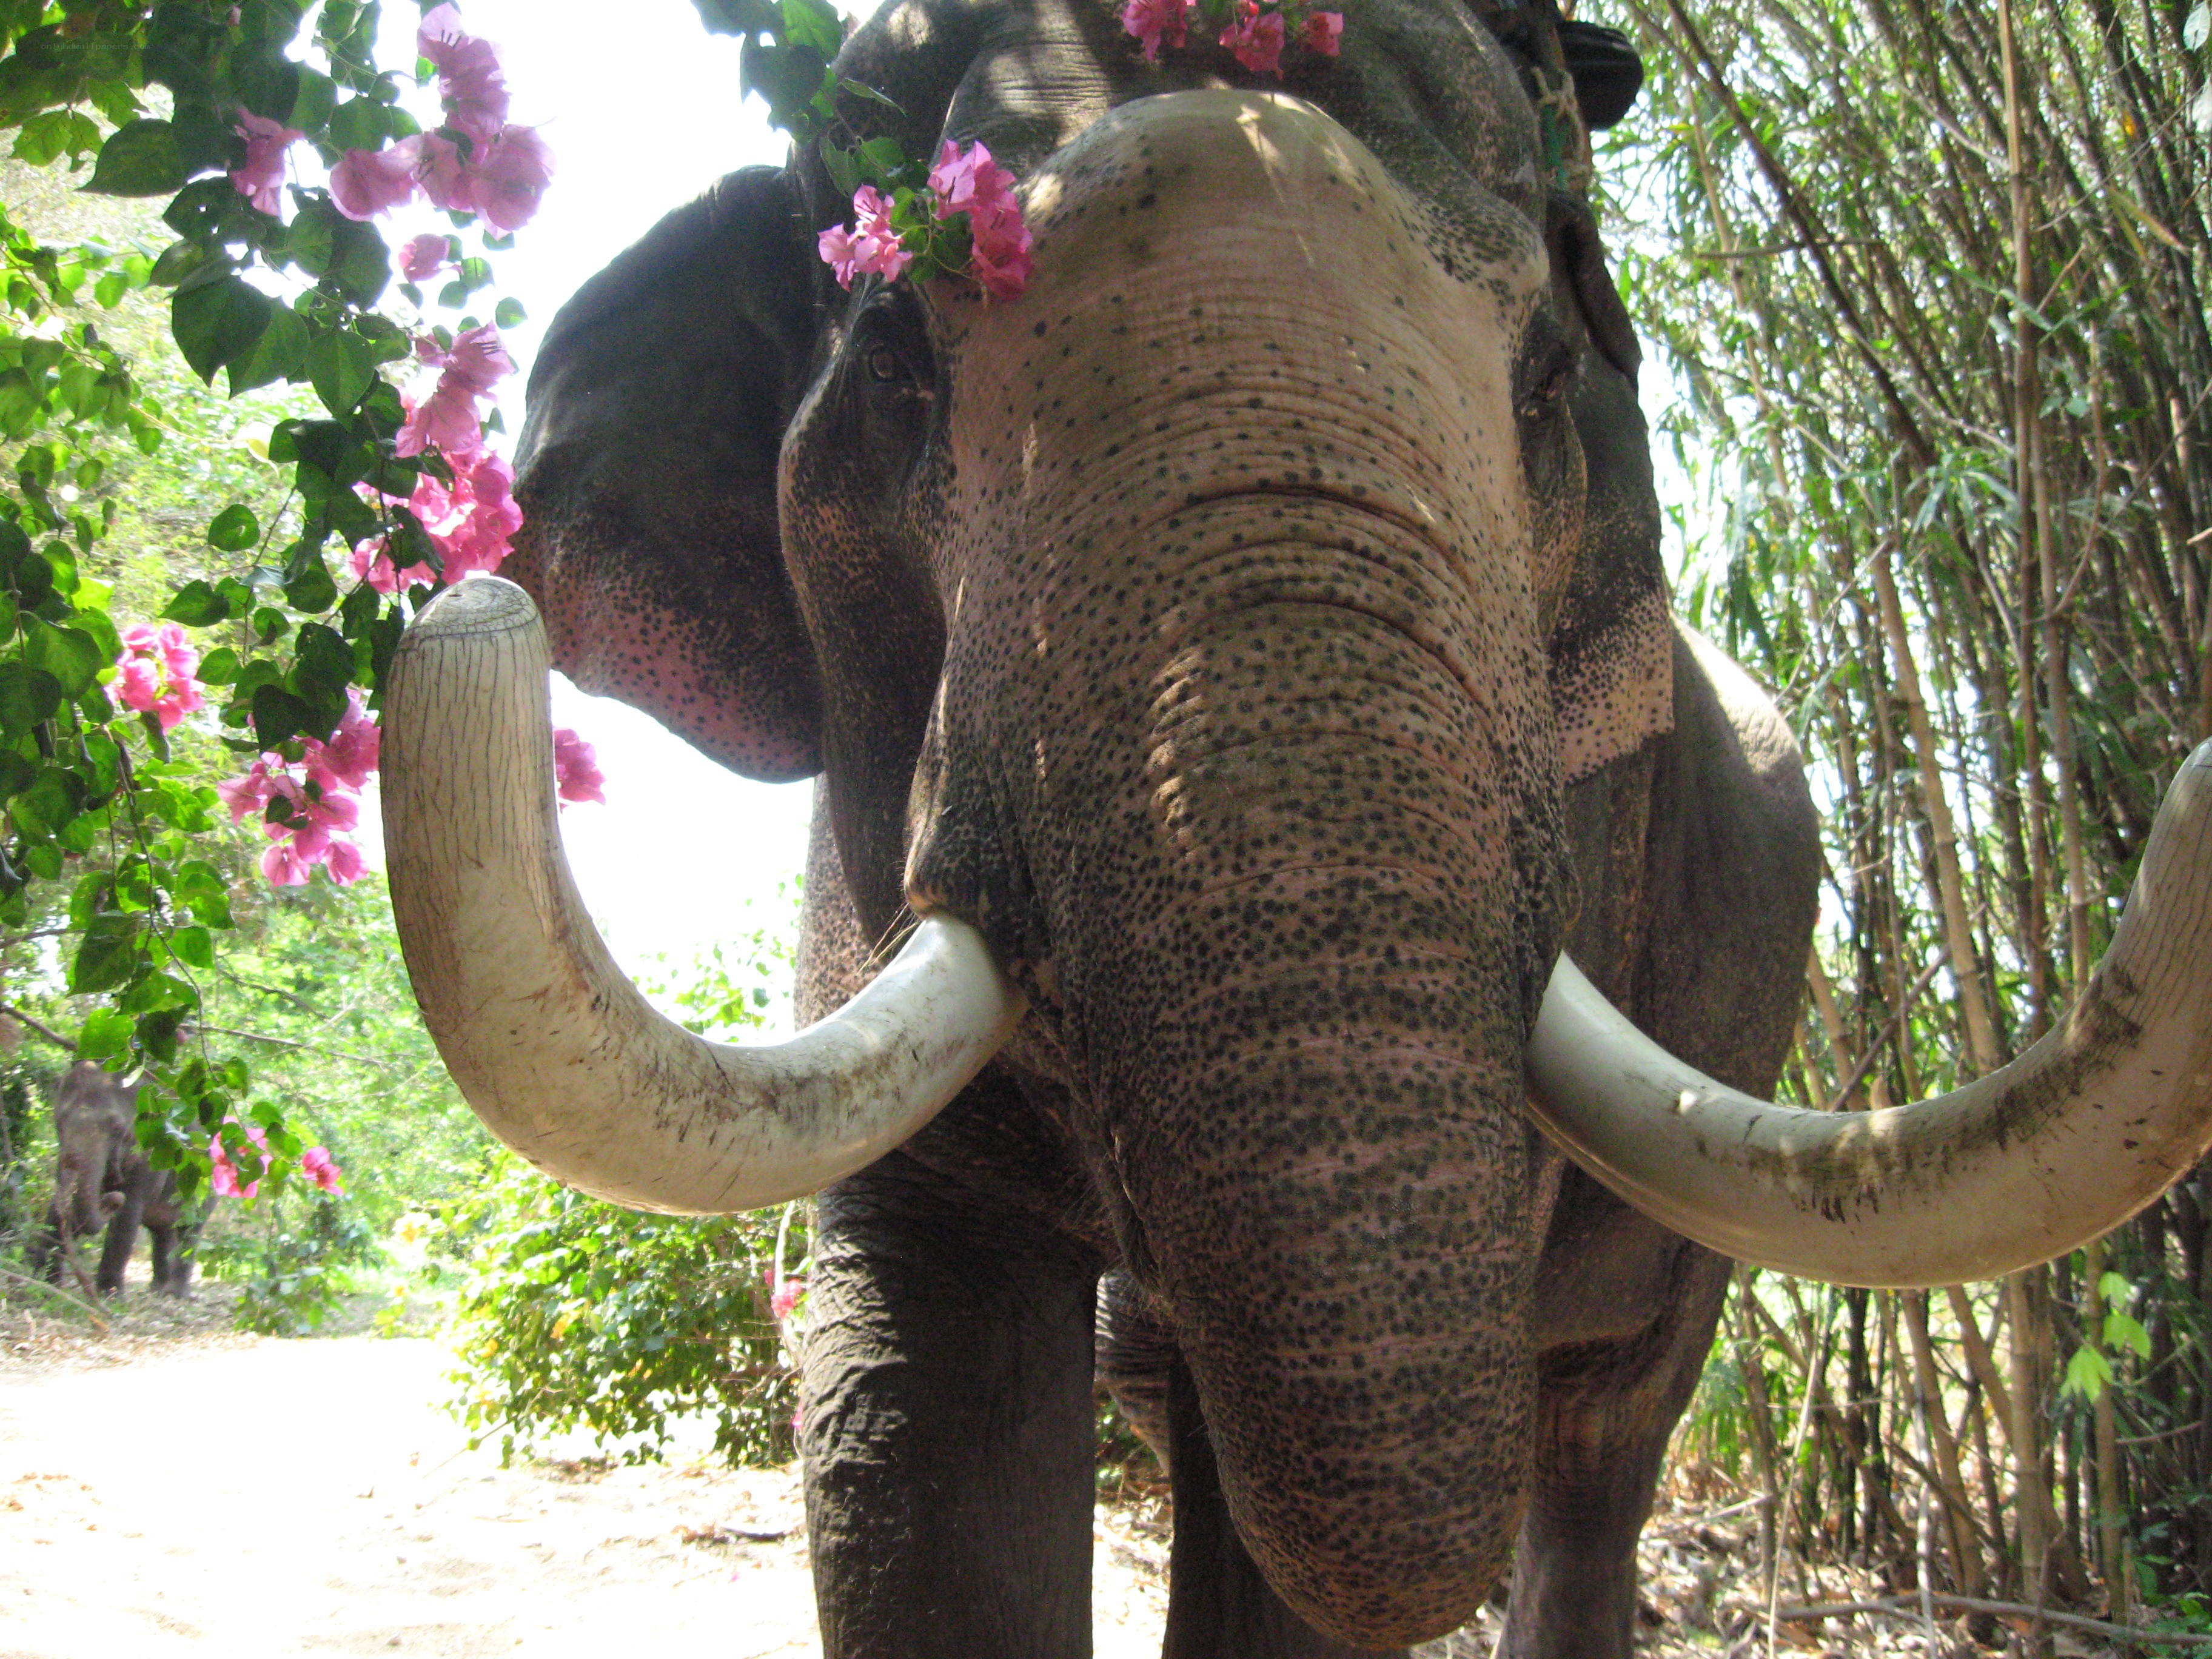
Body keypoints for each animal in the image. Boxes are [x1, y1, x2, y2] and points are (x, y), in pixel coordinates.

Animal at [30, 1061, 200, 1297]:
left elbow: (127, 1216)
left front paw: (109, 1295)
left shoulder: (150, 1157)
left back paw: (176, 1294)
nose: (111, 1197)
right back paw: (158, 1290)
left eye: (118, 1129)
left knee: (191, 1230)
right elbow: (58, 1205)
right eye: (59, 1122)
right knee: (162, 1231)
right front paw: (43, 1284)